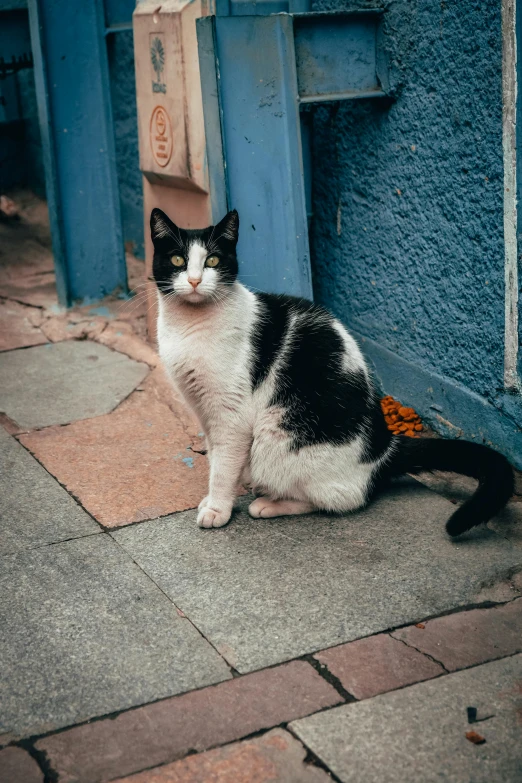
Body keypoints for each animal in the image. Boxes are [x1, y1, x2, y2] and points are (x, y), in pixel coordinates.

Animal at [149, 208, 512, 536]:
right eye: (178, 261)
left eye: (212, 261)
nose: (195, 281)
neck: (190, 326)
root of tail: (384, 448)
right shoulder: (203, 410)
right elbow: (215, 457)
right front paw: (214, 496)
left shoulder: (230, 415)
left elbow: (223, 466)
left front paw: (217, 508)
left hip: (278, 439)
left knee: (338, 500)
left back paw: (269, 503)